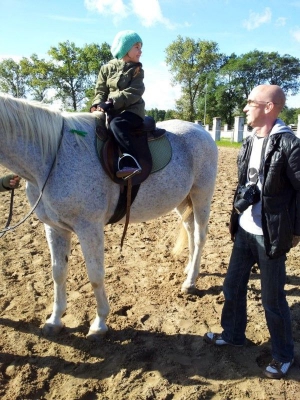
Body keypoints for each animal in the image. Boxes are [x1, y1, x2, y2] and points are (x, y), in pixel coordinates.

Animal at [0, 95, 217, 340]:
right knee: (190, 230)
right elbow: (58, 273)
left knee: (199, 236)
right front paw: (54, 320)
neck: (51, 157)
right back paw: (190, 270)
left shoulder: (89, 228)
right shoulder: (55, 228)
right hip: (182, 199)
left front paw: (99, 323)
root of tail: (200, 129)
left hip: (201, 195)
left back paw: (190, 283)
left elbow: (95, 275)